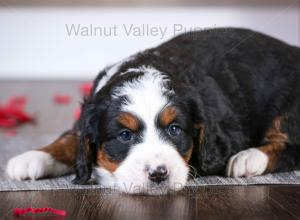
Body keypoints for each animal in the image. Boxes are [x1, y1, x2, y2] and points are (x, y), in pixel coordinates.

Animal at [6, 28, 300, 195]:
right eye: (125, 135)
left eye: (175, 129)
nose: (159, 174)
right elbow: (72, 138)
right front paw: (33, 157)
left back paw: (248, 159)